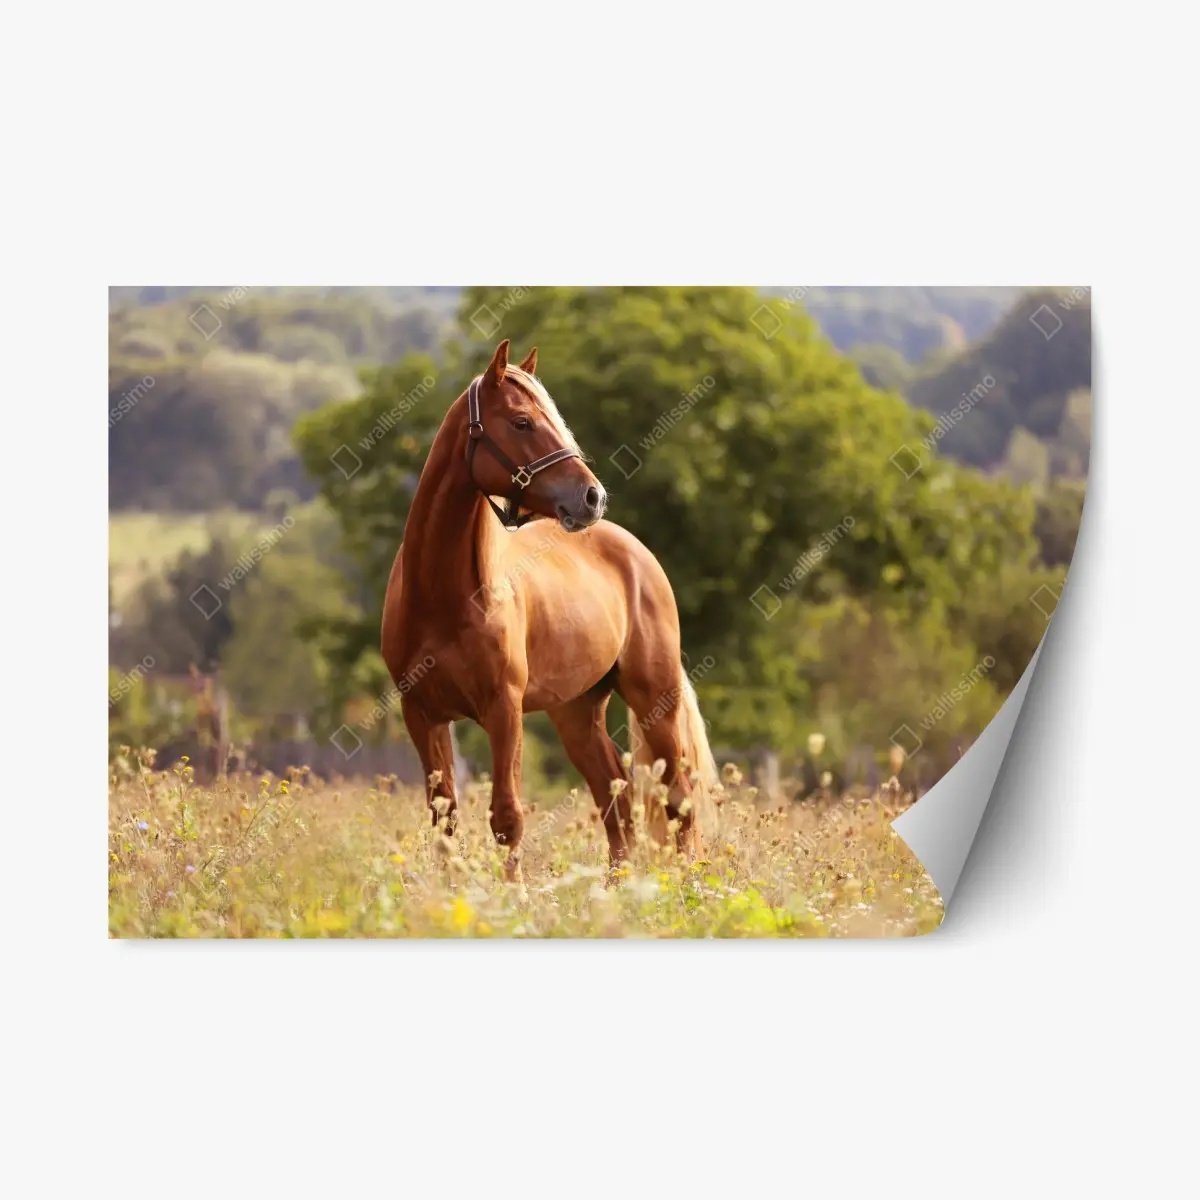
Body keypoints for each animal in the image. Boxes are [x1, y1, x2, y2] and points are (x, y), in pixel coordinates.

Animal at [381, 338, 717, 885]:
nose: (592, 497)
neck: (443, 598)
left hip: (655, 700)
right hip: (576, 713)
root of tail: (635, 552)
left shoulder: (503, 709)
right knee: (616, 802)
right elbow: (444, 820)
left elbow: (507, 817)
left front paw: (513, 896)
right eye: (522, 422)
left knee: (678, 801)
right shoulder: (422, 715)